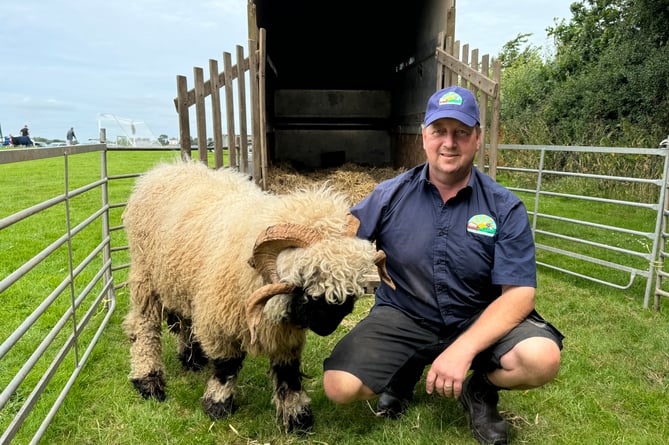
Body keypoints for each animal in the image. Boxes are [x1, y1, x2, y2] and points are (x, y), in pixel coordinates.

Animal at [121, 160, 392, 434]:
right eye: (308, 274)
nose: (328, 324)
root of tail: (166, 168)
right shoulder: (218, 321)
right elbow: (226, 366)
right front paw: (217, 405)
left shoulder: (285, 335)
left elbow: (288, 373)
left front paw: (297, 418)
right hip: (145, 276)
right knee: (144, 327)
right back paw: (148, 381)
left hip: (179, 282)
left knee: (184, 321)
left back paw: (192, 359)